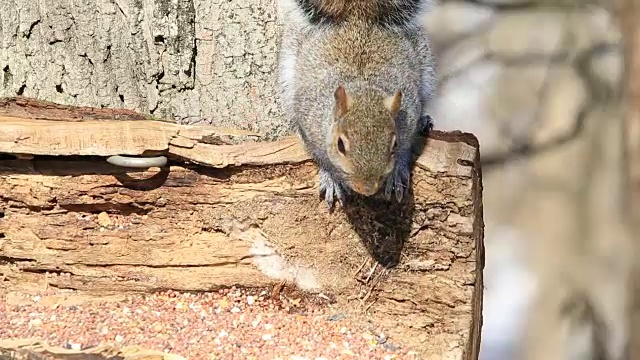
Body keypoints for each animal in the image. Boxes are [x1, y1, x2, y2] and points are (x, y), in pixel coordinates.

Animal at [278, 0, 438, 210]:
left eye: (394, 144)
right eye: (340, 145)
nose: (367, 189)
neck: (364, 89)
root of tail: (358, 17)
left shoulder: (409, 112)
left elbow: (406, 146)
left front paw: (397, 172)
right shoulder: (309, 118)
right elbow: (317, 153)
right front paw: (330, 177)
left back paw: (424, 121)